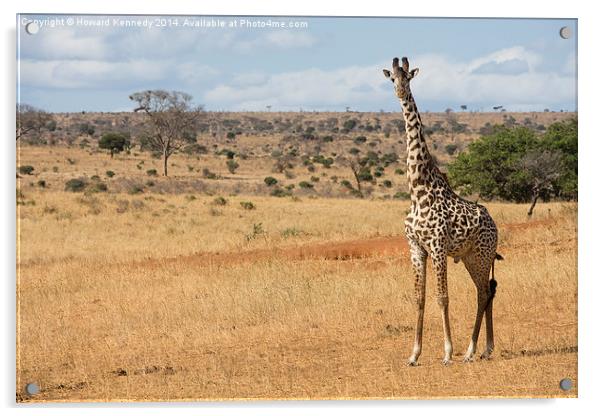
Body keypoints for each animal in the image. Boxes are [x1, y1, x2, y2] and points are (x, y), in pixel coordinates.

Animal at [382, 57, 500, 366]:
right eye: (392, 79)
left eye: (408, 77)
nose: (400, 92)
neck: (418, 190)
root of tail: (495, 224)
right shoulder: (415, 248)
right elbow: (420, 298)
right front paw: (414, 354)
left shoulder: (437, 247)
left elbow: (442, 297)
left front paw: (447, 352)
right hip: (471, 257)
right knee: (487, 291)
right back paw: (486, 348)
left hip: (481, 256)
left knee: (483, 293)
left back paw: (471, 350)